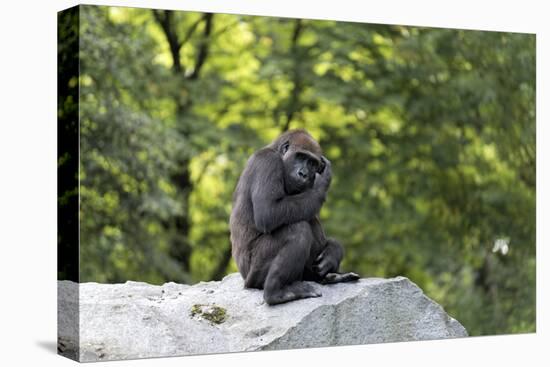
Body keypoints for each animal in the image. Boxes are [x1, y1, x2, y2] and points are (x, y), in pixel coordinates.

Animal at [231, 128, 360, 306]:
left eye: (312, 163)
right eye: (300, 156)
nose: (304, 174)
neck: (277, 152)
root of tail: (245, 281)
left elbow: (307, 207)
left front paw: (333, 251)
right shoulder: (267, 162)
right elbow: (269, 212)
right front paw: (322, 182)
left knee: (308, 219)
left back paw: (327, 277)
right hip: (253, 277)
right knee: (297, 229)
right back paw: (276, 292)